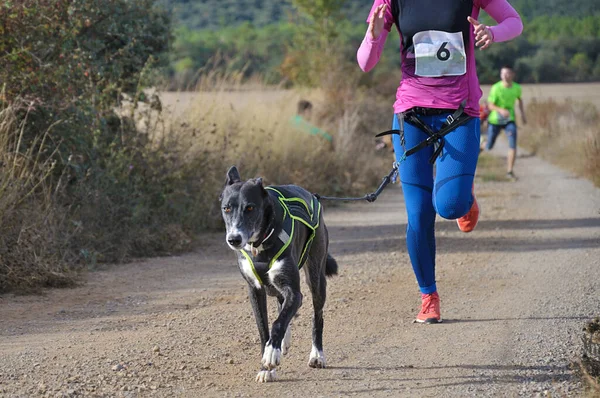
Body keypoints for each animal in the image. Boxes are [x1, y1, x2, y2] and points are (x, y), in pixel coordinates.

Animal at [220, 166, 338, 382]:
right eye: (227, 208)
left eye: (250, 208)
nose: (234, 239)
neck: (259, 244)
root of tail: (312, 195)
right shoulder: (255, 291)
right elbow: (264, 328)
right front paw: (266, 367)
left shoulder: (295, 291)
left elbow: (278, 322)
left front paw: (271, 353)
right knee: (281, 304)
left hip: (316, 278)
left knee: (317, 316)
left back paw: (317, 355)